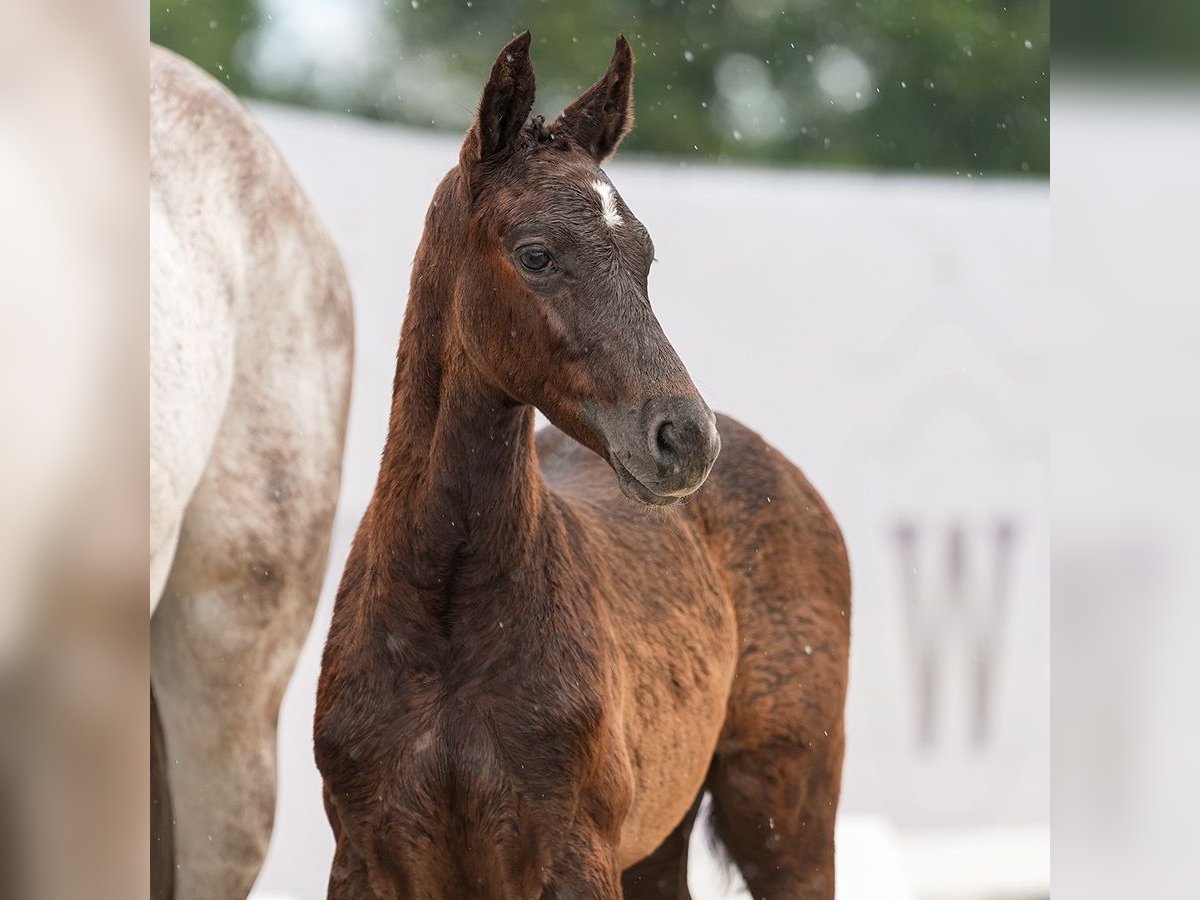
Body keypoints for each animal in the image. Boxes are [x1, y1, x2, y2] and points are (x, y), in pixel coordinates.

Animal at [314, 31, 849, 897]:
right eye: (536, 253)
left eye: (645, 256)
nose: (684, 438)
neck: (445, 622)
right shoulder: (364, 857)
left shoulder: (574, 854)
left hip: (785, 812)